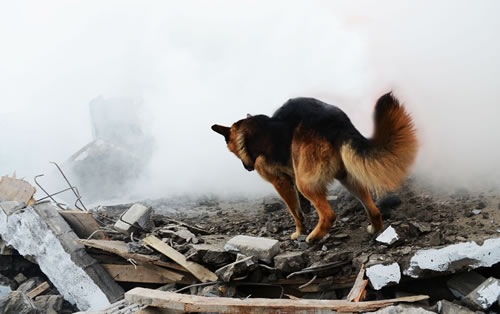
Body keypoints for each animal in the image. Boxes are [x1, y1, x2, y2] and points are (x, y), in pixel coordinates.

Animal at [211, 93, 418, 243]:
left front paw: (299, 232)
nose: (248, 168)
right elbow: (301, 207)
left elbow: (295, 212)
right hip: (348, 178)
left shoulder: (281, 182)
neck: (246, 132)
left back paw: (314, 237)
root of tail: (336, 121)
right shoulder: (292, 177)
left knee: (329, 214)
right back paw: (374, 228)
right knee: (373, 210)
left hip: (306, 182)